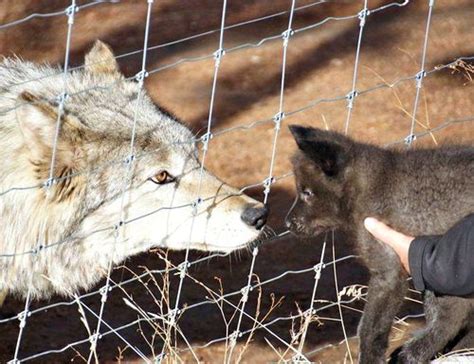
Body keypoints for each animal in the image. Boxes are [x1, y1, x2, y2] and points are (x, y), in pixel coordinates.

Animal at [286, 123, 474, 362]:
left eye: (307, 193)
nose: (287, 223)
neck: (370, 188)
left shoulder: (388, 271)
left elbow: (369, 329)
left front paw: (370, 357)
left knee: (451, 318)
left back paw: (412, 354)